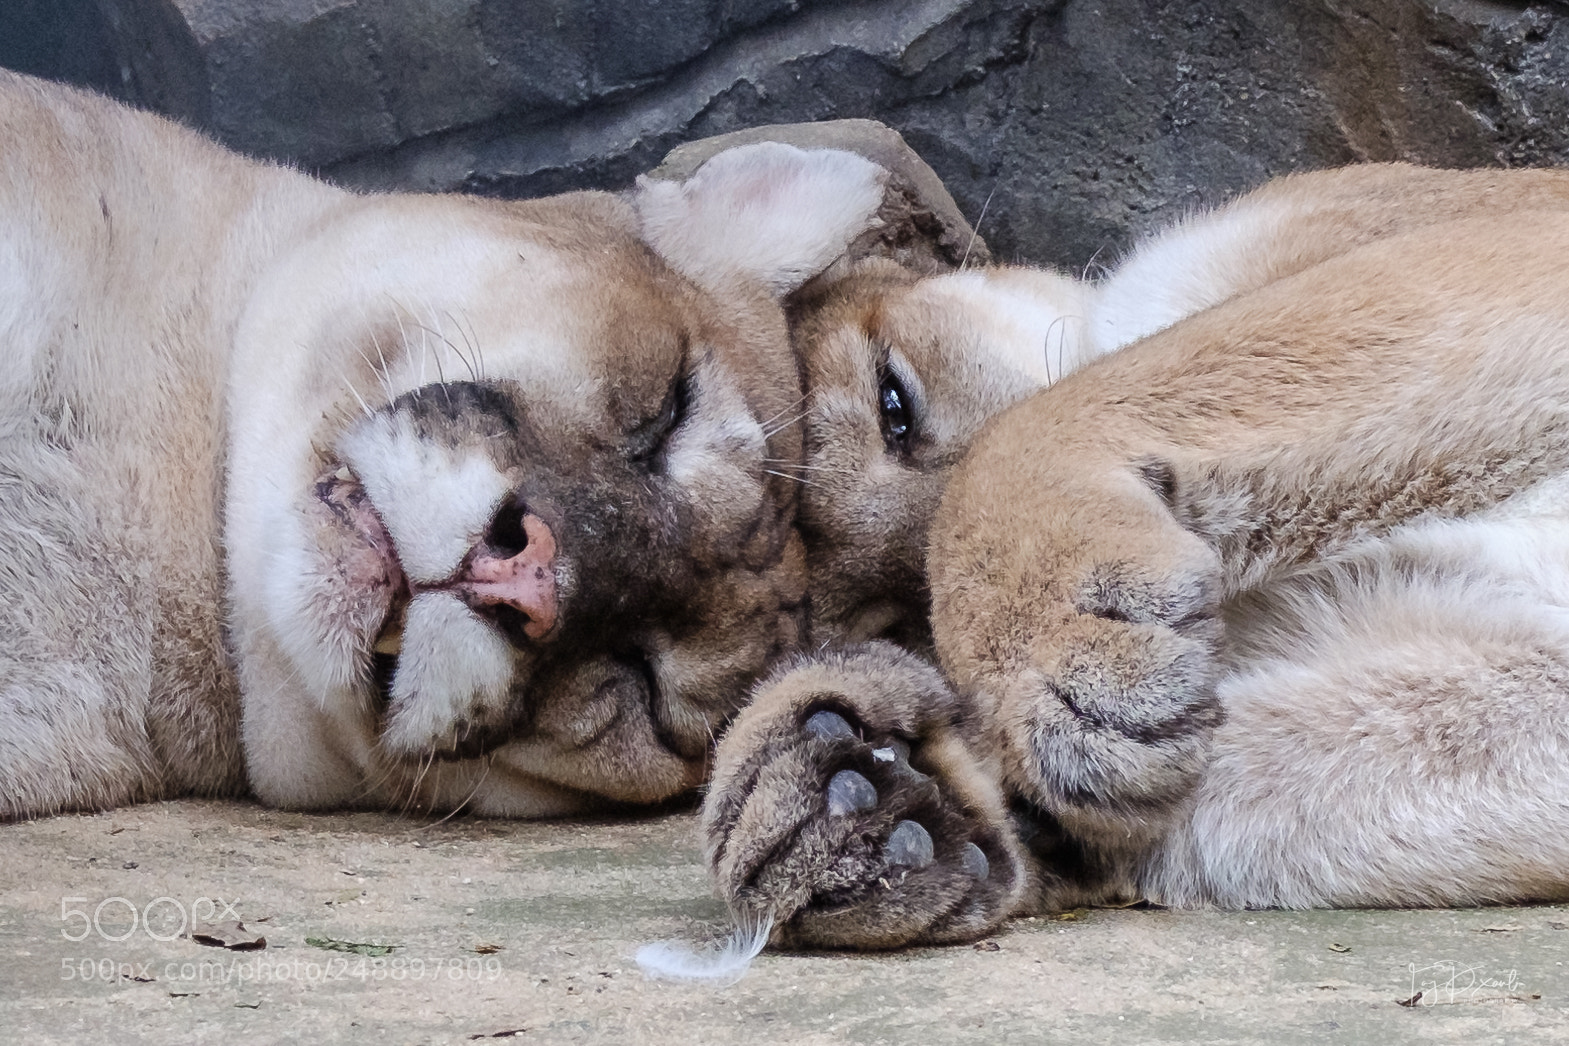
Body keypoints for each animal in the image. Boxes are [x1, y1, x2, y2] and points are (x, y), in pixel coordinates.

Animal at [701, 163, 1569, 949]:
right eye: (890, 621)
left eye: (895, 406)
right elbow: (1279, 780)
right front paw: (862, 804)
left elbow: (1050, 415)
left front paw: (1047, 668)